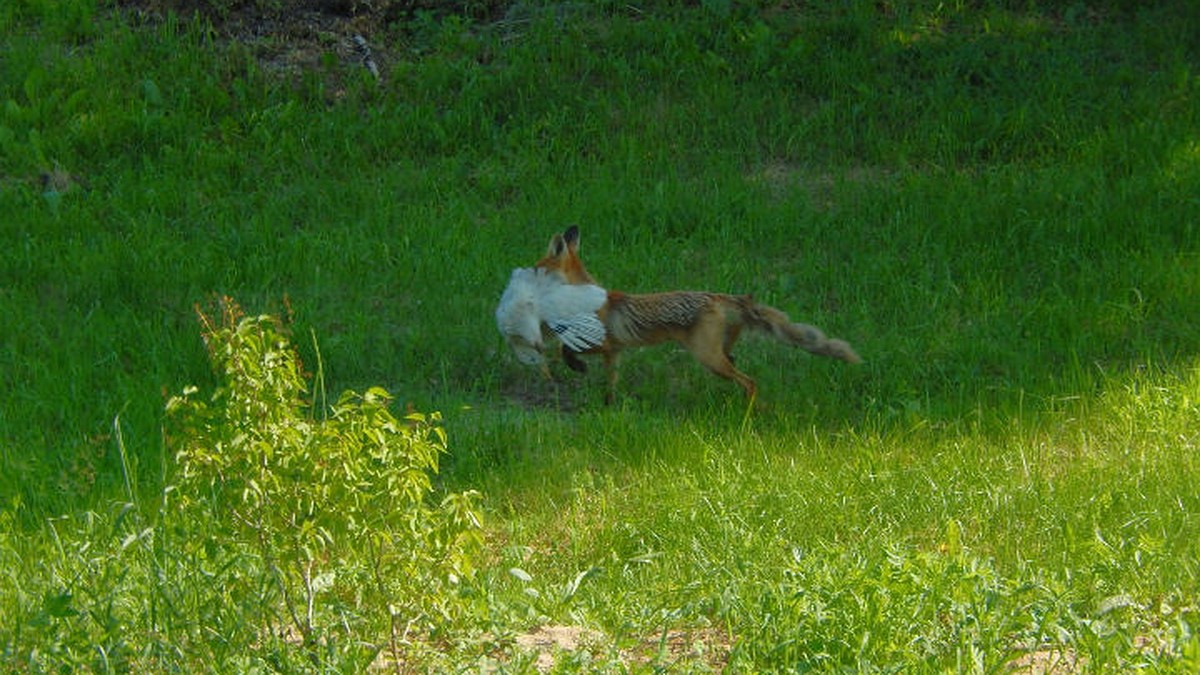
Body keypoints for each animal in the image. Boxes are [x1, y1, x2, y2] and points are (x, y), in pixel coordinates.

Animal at [535, 225, 864, 398]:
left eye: (537, 268)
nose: (526, 272)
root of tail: (719, 296)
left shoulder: (600, 343)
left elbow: (565, 349)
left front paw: (578, 368)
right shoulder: (614, 351)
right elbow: (611, 382)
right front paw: (610, 404)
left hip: (708, 358)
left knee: (750, 382)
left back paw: (751, 414)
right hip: (718, 352)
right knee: (736, 361)